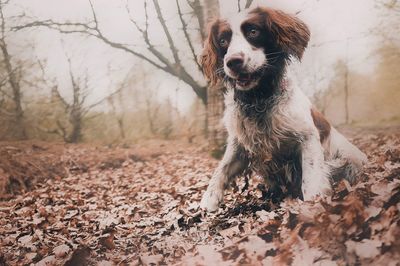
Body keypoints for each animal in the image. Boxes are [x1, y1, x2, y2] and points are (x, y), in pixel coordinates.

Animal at [198, 6, 368, 212]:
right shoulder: (239, 145)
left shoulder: (307, 138)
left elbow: (311, 178)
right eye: (223, 41)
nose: (233, 62)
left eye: (253, 32)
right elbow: (221, 169)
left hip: (350, 159)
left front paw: (313, 204)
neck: (259, 99)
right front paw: (209, 199)